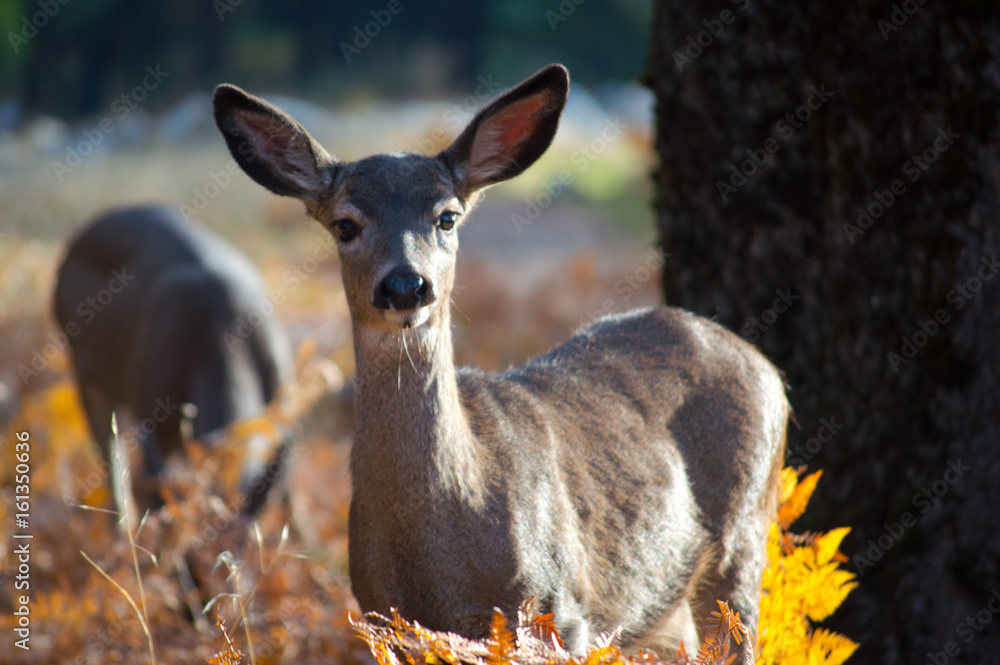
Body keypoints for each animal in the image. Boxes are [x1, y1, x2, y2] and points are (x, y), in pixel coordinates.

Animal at [212, 64, 788, 661]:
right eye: (346, 224)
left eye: (447, 217)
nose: (405, 285)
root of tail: (764, 365)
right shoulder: (385, 622)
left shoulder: (560, 610)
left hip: (743, 538)